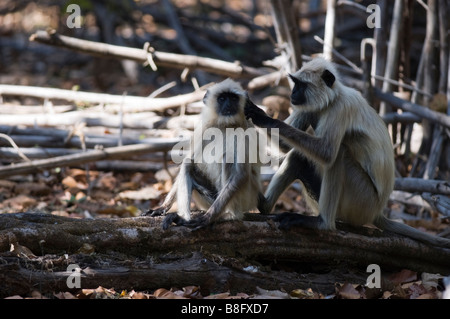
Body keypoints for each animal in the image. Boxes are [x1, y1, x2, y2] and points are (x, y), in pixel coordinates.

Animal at [143, 79, 264, 230]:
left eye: (233, 98)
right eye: (222, 98)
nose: (229, 105)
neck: (226, 126)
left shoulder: (245, 131)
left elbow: (241, 174)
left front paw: (207, 218)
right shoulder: (205, 127)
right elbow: (189, 158)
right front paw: (162, 207)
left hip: (246, 198)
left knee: (229, 158)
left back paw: (230, 215)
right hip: (209, 198)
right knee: (188, 164)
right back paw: (182, 218)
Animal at [244, 57, 450, 249]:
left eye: (301, 85)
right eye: (295, 84)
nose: (292, 93)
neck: (333, 98)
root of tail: (378, 211)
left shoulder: (340, 108)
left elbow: (326, 154)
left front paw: (266, 118)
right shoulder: (311, 108)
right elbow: (286, 148)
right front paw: (255, 113)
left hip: (361, 201)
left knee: (338, 155)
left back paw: (322, 223)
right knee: (299, 155)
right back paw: (263, 205)